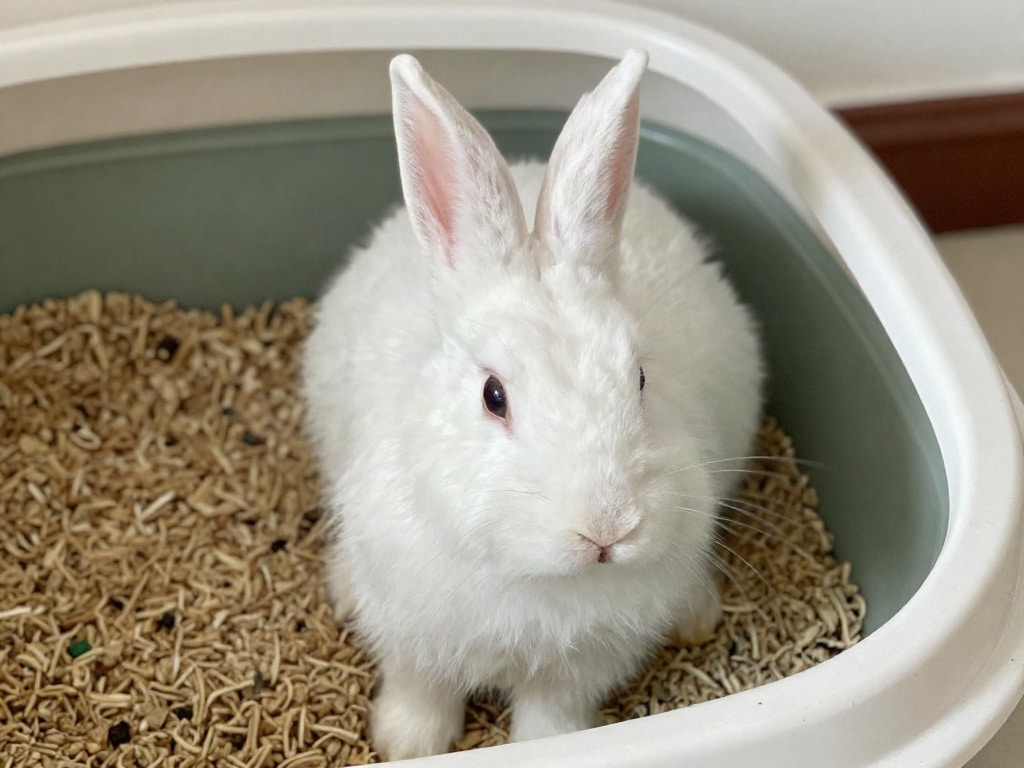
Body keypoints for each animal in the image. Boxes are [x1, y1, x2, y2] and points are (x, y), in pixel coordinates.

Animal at [301, 49, 764, 761]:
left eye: (639, 377)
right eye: (493, 396)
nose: (607, 529)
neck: (536, 579)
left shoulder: (581, 668)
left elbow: (552, 716)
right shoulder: (414, 638)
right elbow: (420, 689)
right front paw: (407, 743)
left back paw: (696, 613)